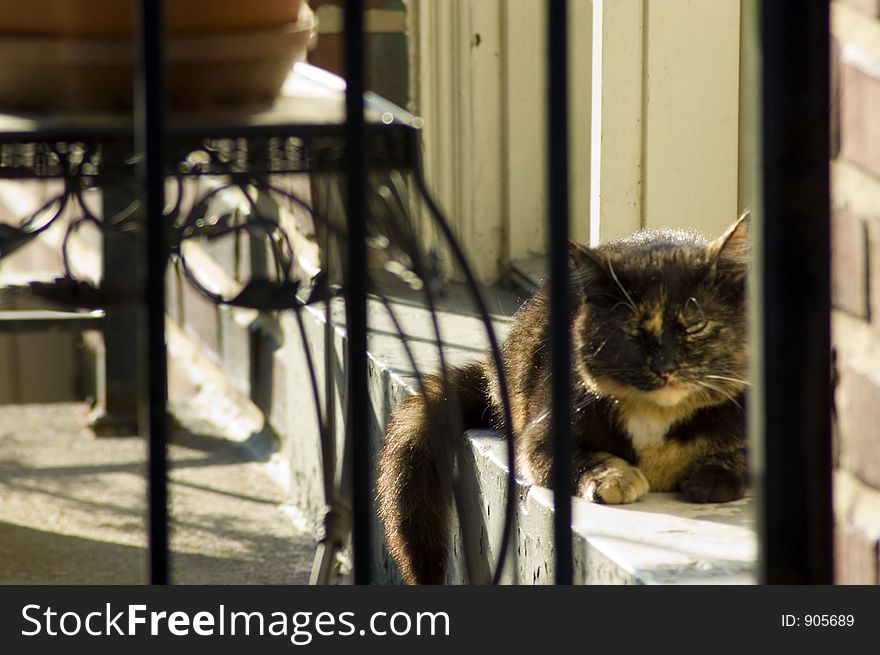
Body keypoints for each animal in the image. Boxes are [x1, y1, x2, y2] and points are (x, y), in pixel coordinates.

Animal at [378, 214, 748, 584]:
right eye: (630, 329)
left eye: (695, 325)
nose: (664, 365)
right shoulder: (543, 435)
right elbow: (580, 458)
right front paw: (615, 478)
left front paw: (713, 476)